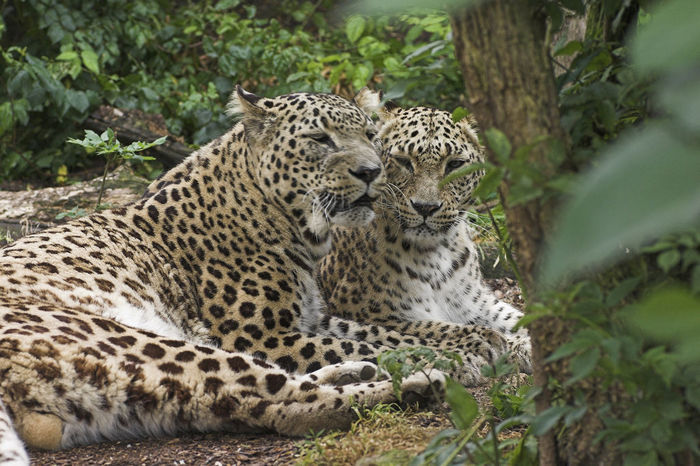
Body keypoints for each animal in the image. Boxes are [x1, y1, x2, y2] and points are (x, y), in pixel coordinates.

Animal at [1, 88, 454, 462]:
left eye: (370, 135)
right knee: (284, 401)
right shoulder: (262, 335)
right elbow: (360, 343)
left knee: (252, 398)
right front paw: (451, 360)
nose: (372, 171)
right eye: (320, 139)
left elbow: (374, 334)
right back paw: (417, 384)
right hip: (140, 341)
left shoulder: (311, 319)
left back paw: (360, 373)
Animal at [320, 102, 532, 372]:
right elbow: (433, 327)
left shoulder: (475, 300)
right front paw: (504, 344)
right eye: (403, 161)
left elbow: (514, 317)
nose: (425, 207)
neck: (438, 251)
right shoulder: (370, 313)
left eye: (454, 164)